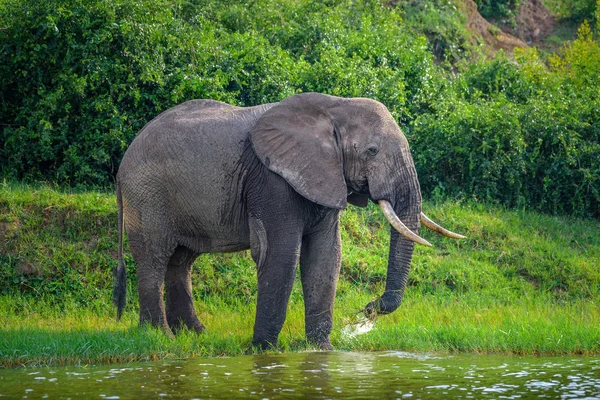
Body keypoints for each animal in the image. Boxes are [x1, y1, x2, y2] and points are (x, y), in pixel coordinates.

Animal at [112, 92, 464, 348]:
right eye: (372, 151)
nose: (369, 308)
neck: (336, 106)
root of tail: (123, 162)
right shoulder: (272, 181)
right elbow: (281, 254)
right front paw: (263, 350)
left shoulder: (324, 176)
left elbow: (326, 256)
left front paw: (321, 350)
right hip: (147, 196)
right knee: (154, 259)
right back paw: (160, 337)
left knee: (180, 262)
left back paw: (196, 335)